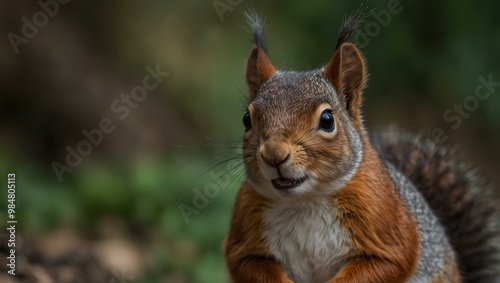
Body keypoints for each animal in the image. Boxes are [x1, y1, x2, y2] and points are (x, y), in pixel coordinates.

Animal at [224, 10, 500, 282]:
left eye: (327, 120)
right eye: (246, 119)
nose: (274, 154)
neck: (304, 201)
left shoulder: (389, 225)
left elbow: (389, 262)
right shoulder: (243, 236)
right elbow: (245, 262)